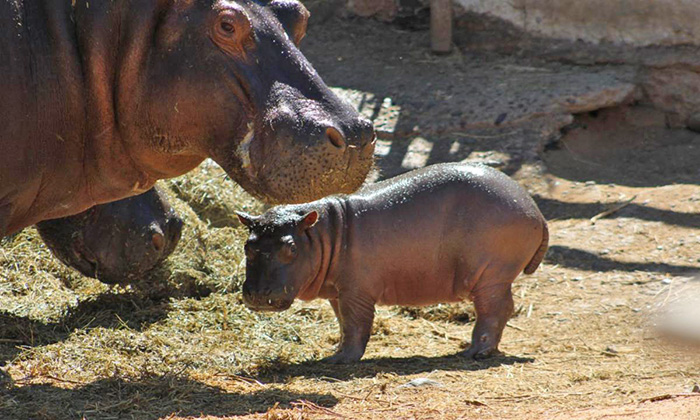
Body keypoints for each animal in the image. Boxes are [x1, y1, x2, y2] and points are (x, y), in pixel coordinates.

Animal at [238, 162, 548, 362]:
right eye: (247, 245)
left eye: (290, 247)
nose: (258, 295)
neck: (321, 233)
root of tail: (534, 209)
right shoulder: (338, 292)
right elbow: (343, 324)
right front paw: (335, 353)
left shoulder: (356, 292)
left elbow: (356, 324)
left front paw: (339, 361)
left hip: (491, 275)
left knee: (495, 310)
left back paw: (474, 353)